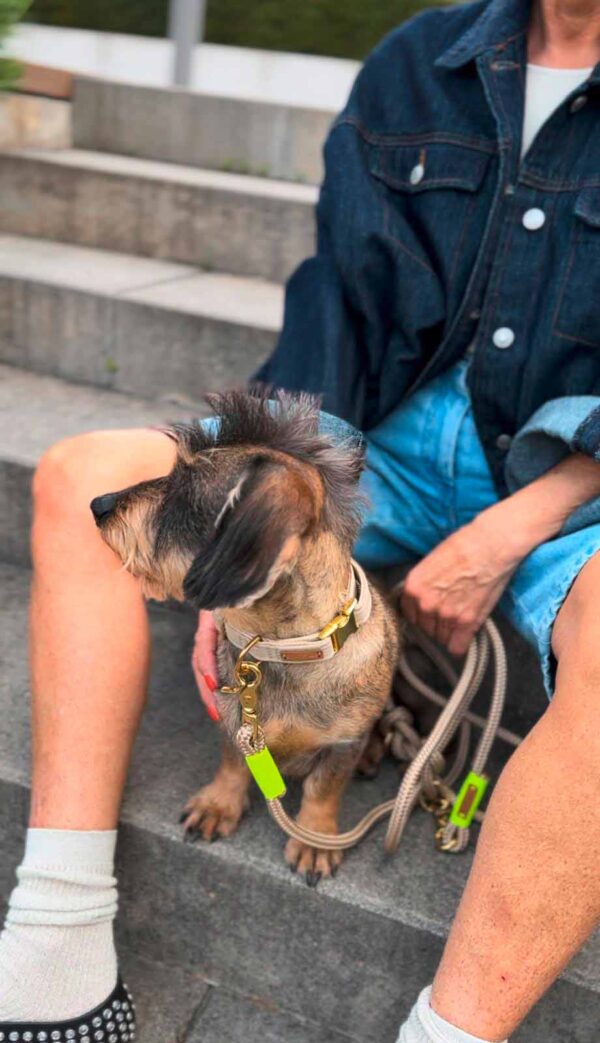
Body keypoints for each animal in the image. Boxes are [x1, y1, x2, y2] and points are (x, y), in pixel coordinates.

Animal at [92, 394, 404, 884]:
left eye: (183, 490)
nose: (98, 504)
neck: (281, 649)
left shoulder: (340, 746)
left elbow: (324, 788)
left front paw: (315, 839)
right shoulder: (235, 723)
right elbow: (232, 765)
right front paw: (218, 805)